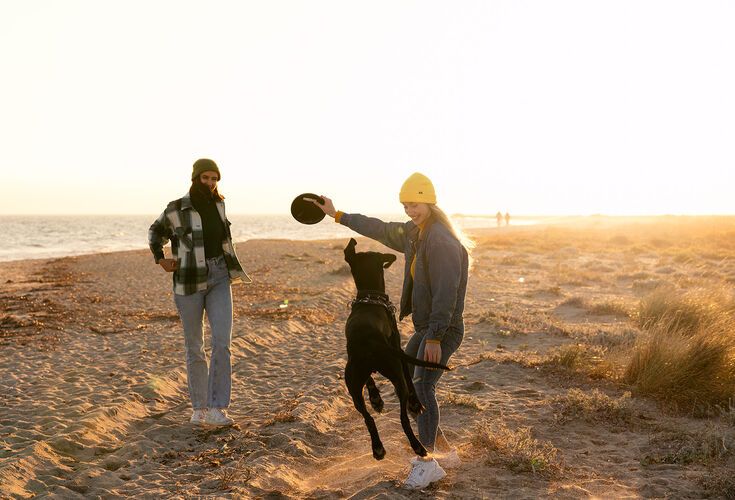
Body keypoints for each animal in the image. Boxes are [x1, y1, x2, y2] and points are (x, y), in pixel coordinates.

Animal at [344, 238, 452, 460]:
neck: (369, 298)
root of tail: (368, 341)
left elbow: (370, 381)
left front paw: (376, 399)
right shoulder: (397, 346)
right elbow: (410, 377)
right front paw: (415, 403)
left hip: (352, 384)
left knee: (368, 418)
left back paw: (378, 447)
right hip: (394, 374)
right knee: (403, 417)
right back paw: (417, 445)